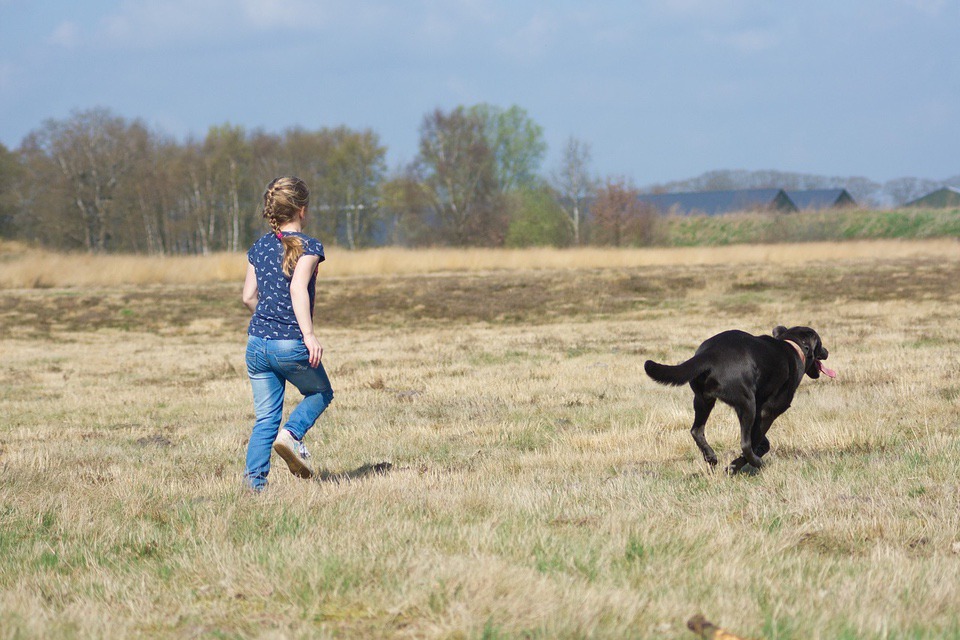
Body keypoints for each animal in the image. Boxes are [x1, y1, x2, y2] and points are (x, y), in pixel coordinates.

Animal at [640, 328, 836, 472]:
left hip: (703, 400)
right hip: (747, 403)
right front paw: (737, 465)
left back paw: (711, 457)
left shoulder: (759, 411)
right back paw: (752, 463)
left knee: (696, 430)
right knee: (745, 444)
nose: (827, 351)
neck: (793, 345)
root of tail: (711, 354)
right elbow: (755, 440)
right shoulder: (768, 411)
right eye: (820, 344)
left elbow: (761, 439)